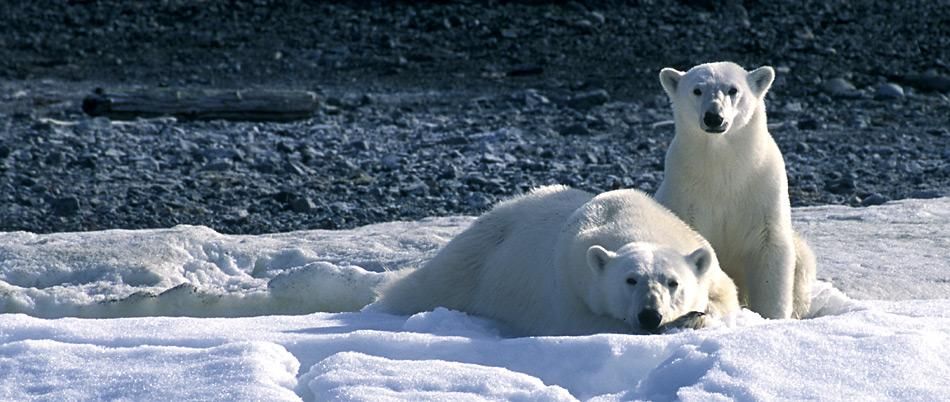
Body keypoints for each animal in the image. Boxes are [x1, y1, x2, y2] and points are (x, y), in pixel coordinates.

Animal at [368, 185, 740, 336]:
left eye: (673, 282)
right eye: (630, 279)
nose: (650, 315)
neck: (637, 222)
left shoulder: (709, 262)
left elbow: (727, 299)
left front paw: (697, 315)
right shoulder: (570, 280)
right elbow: (581, 324)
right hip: (472, 262)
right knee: (424, 287)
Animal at [656, 61, 820, 318]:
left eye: (733, 89)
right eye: (697, 90)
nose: (714, 117)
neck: (724, 169)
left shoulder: (762, 187)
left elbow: (770, 249)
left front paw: (771, 316)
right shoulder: (685, 194)